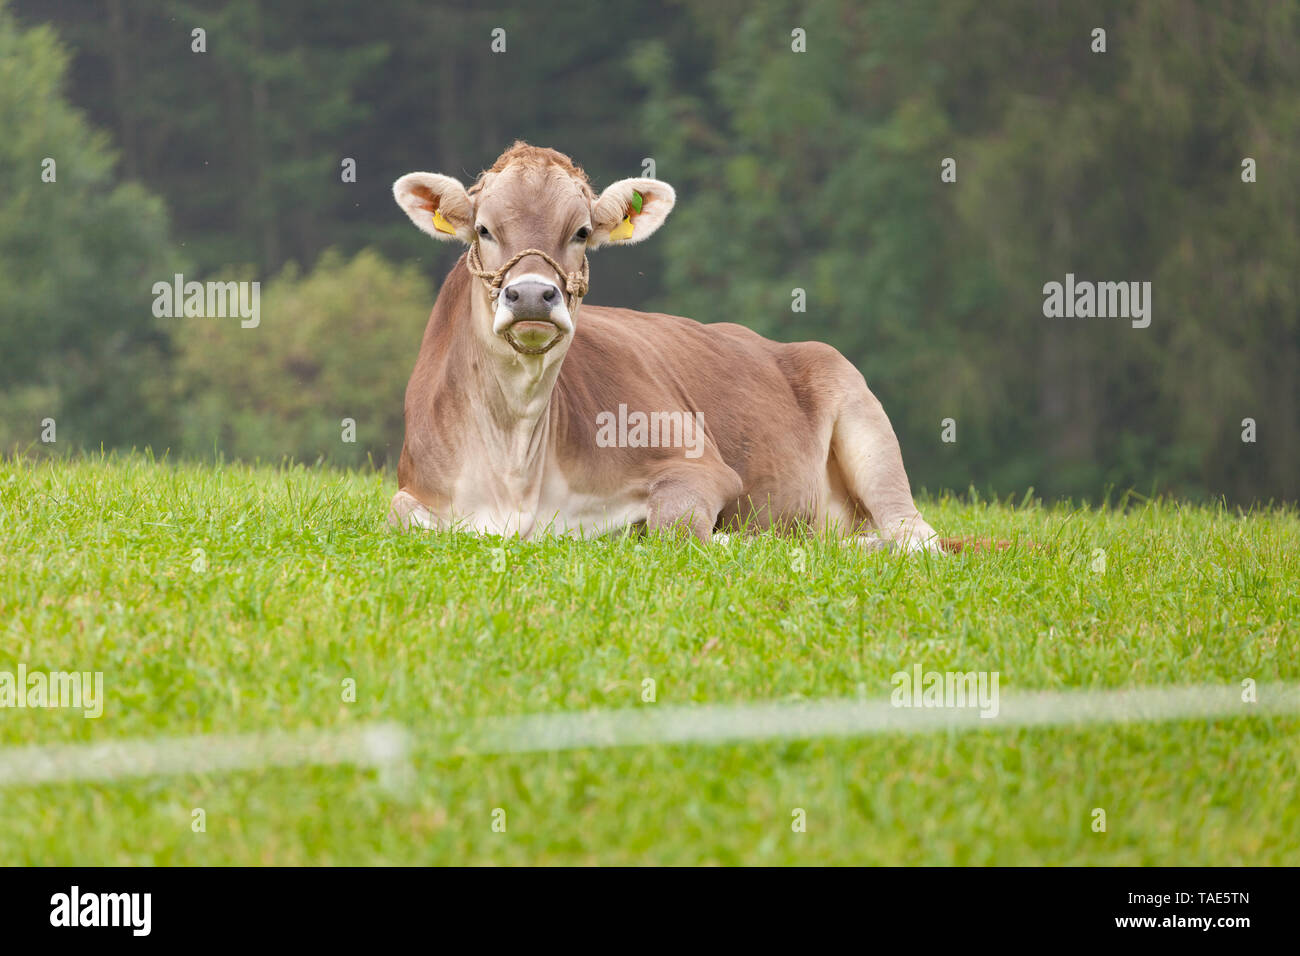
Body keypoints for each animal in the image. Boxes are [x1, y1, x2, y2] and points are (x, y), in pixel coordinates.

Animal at [388, 141, 946, 553]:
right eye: (484, 229)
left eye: (582, 232)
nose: (530, 295)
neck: (515, 462)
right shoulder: (417, 489)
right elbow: (399, 515)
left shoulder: (700, 464)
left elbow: (675, 527)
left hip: (862, 415)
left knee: (914, 535)